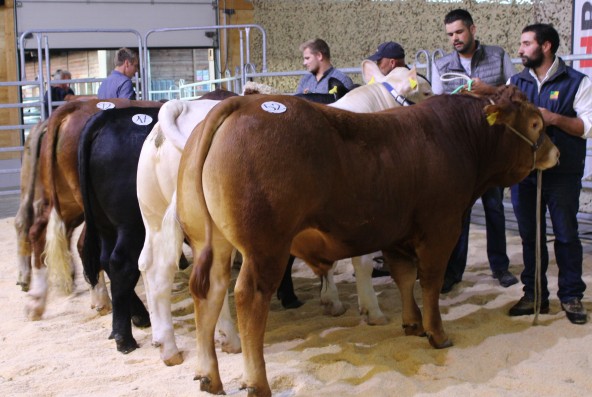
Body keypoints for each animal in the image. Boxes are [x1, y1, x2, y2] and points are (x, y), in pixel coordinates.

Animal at [138, 61, 434, 366]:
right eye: (426, 91)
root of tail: (181, 106)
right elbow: (360, 263)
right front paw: (372, 311)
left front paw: (331, 300)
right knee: (209, 280)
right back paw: (228, 339)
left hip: (154, 217)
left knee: (152, 267)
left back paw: (166, 343)